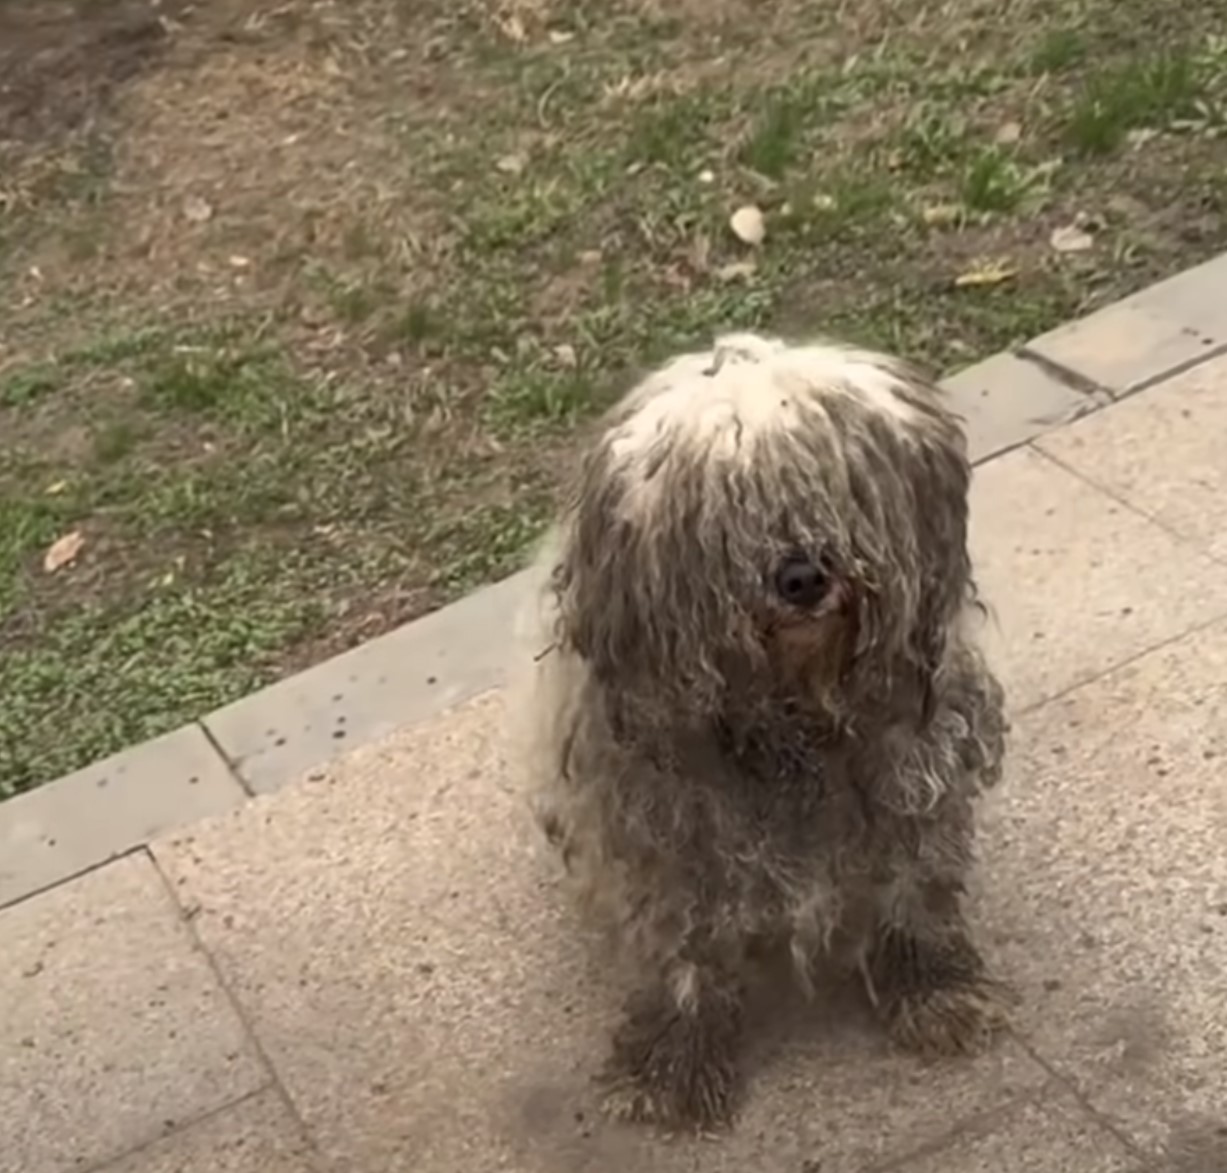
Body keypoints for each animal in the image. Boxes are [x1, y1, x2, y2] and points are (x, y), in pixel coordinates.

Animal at [517, 331, 1006, 1138]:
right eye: (720, 511)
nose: (802, 577)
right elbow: (682, 948)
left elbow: (911, 885)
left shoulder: (910, 771)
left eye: (835, 479)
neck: (790, 712)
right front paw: (672, 1064)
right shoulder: (664, 823)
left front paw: (932, 990)